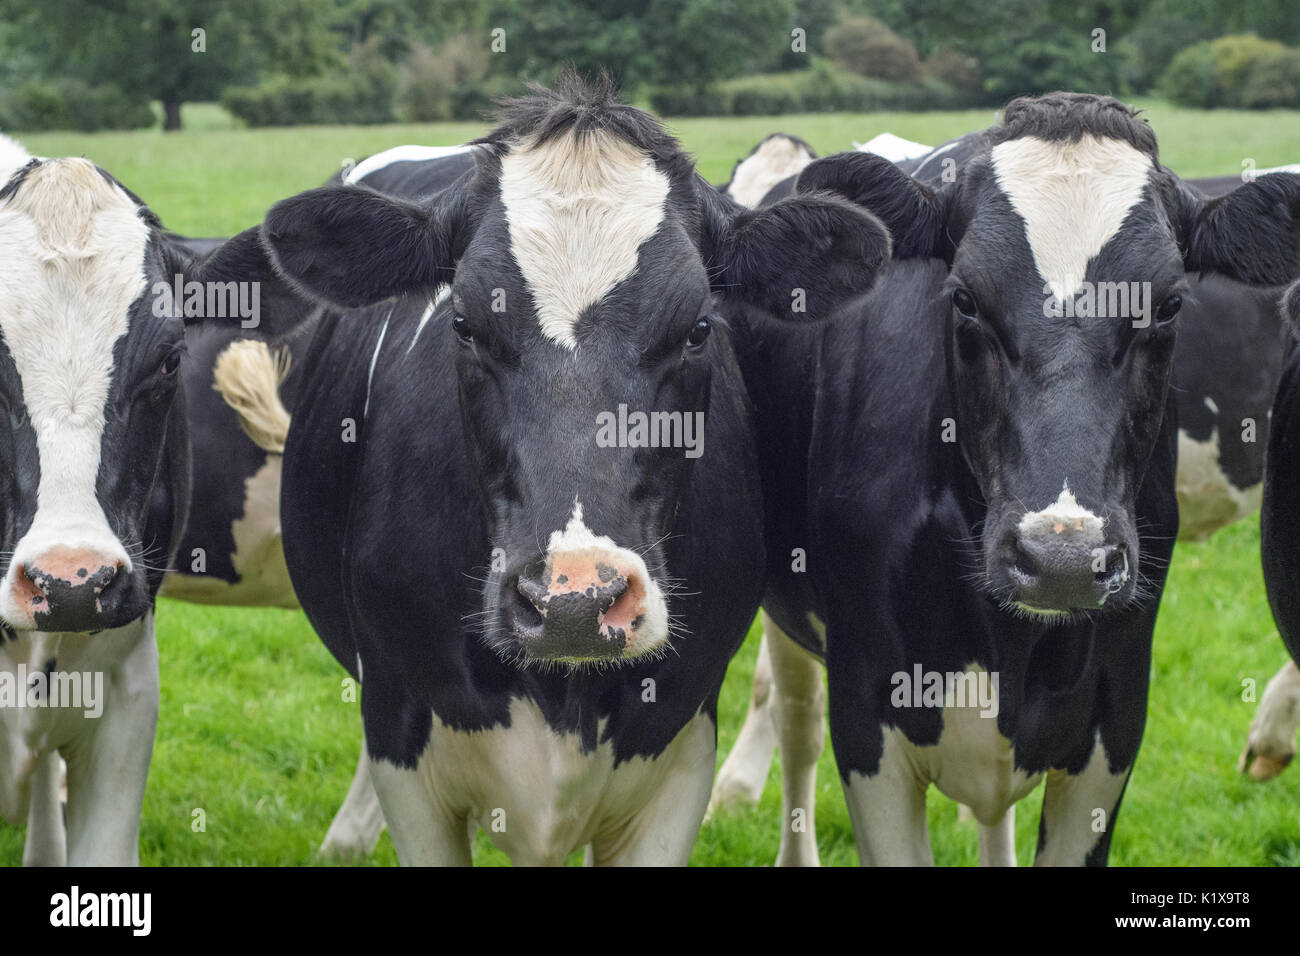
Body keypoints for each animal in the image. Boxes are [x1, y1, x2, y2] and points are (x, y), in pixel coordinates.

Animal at [724, 92, 1300, 866]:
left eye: (1170, 304)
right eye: (964, 298)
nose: (1061, 559)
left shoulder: (1115, 718)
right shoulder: (869, 718)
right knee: (794, 715)